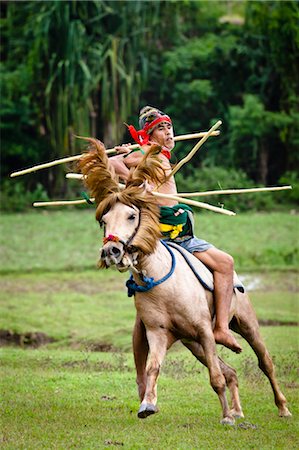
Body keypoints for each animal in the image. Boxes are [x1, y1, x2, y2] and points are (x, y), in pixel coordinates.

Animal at [78, 138, 292, 426]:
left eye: (131, 216)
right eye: (104, 220)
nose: (111, 251)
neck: (161, 283)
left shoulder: (204, 329)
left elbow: (215, 378)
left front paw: (226, 417)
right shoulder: (158, 332)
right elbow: (153, 367)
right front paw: (147, 404)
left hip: (245, 323)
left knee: (264, 362)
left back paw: (281, 407)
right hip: (193, 344)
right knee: (230, 371)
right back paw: (238, 410)